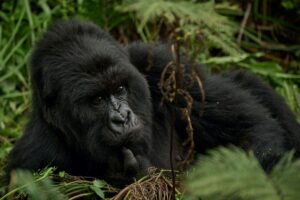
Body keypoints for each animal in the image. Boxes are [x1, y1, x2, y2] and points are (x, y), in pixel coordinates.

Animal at [4, 19, 300, 185]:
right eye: (97, 100)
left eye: (120, 89)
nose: (122, 117)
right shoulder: (32, 161)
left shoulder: (161, 65)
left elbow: (252, 129)